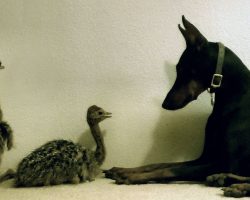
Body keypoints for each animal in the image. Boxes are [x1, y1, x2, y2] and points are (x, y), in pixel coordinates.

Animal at [105, 16, 250, 198]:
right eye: (177, 68)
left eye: (181, 69)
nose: (165, 104)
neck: (232, 96)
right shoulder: (205, 157)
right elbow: (161, 164)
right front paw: (124, 169)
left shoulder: (227, 163)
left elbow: (171, 170)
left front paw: (131, 177)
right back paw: (223, 179)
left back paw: (235, 185)